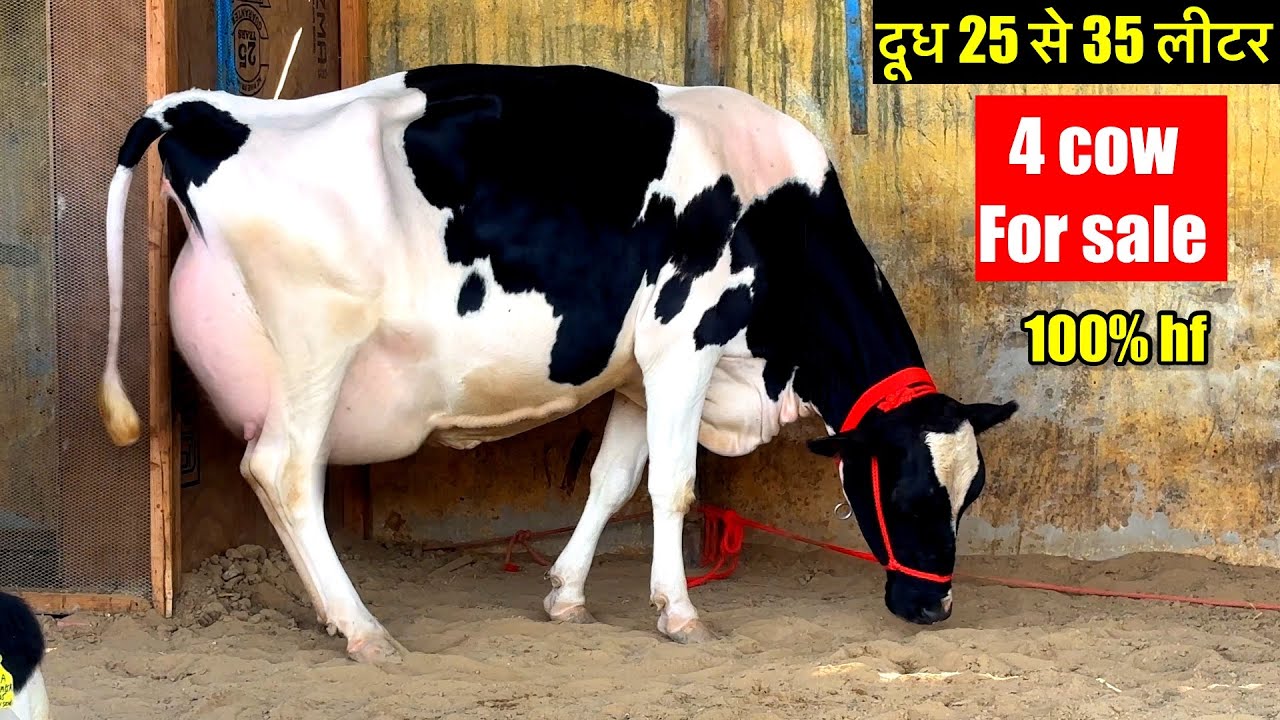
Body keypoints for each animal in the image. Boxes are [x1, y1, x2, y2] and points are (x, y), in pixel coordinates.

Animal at [98, 63, 1017, 664]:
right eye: (907, 493)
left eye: (971, 492)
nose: (933, 605)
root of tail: (211, 112)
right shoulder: (685, 340)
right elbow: (673, 486)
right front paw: (681, 615)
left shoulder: (640, 373)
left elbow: (611, 482)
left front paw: (568, 595)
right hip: (320, 344)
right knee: (285, 472)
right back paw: (363, 629)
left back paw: (337, 617)